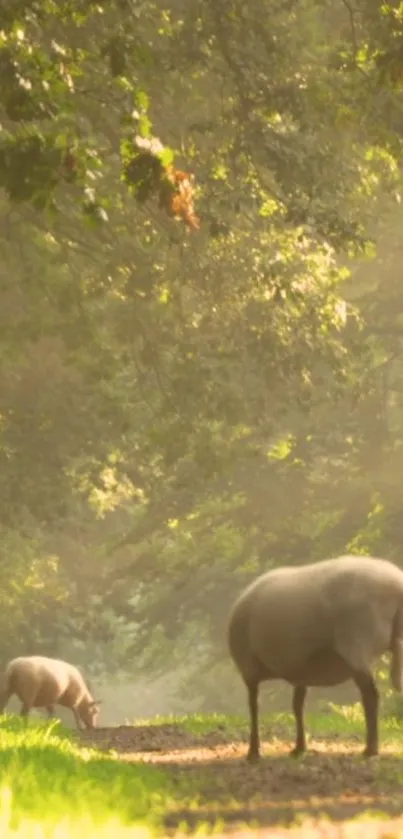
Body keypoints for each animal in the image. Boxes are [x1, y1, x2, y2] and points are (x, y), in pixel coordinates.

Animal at [229, 556, 403, 760]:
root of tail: (396, 584)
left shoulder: (250, 668)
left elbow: (255, 706)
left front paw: (255, 751)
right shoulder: (300, 670)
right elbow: (297, 705)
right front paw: (299, 748)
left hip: (357, 644)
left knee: (371, 696)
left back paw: (371, 749)